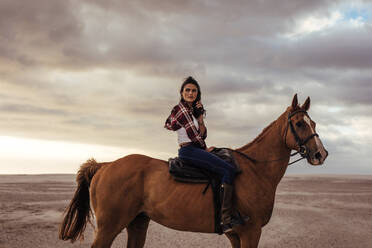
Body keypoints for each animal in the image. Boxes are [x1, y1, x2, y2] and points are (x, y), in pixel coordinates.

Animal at [59, 94, 326, 247]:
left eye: (313, 122)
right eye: (299, 123)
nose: (320, 154)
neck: (256, 169)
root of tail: (104, 166)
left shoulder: (236, 234)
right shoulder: (251, 232)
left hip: (137, 223)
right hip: (109, 227)